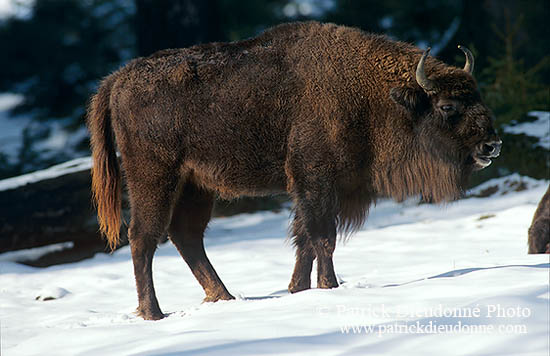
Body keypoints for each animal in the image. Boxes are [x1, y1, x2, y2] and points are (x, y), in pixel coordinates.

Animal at [87, 21, 504, 320]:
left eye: (478, 96)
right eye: (448, 106)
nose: (492, 146)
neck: (373, 92)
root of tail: (118, 79)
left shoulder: (320, 187)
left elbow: (304, 239)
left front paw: (297, 289)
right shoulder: (316, 178)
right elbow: (322, 237)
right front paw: (329, 287)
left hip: (195, 187)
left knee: (186, 237)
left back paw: (224, 297)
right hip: (155, 179)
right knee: (143, 238)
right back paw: (154, 313)